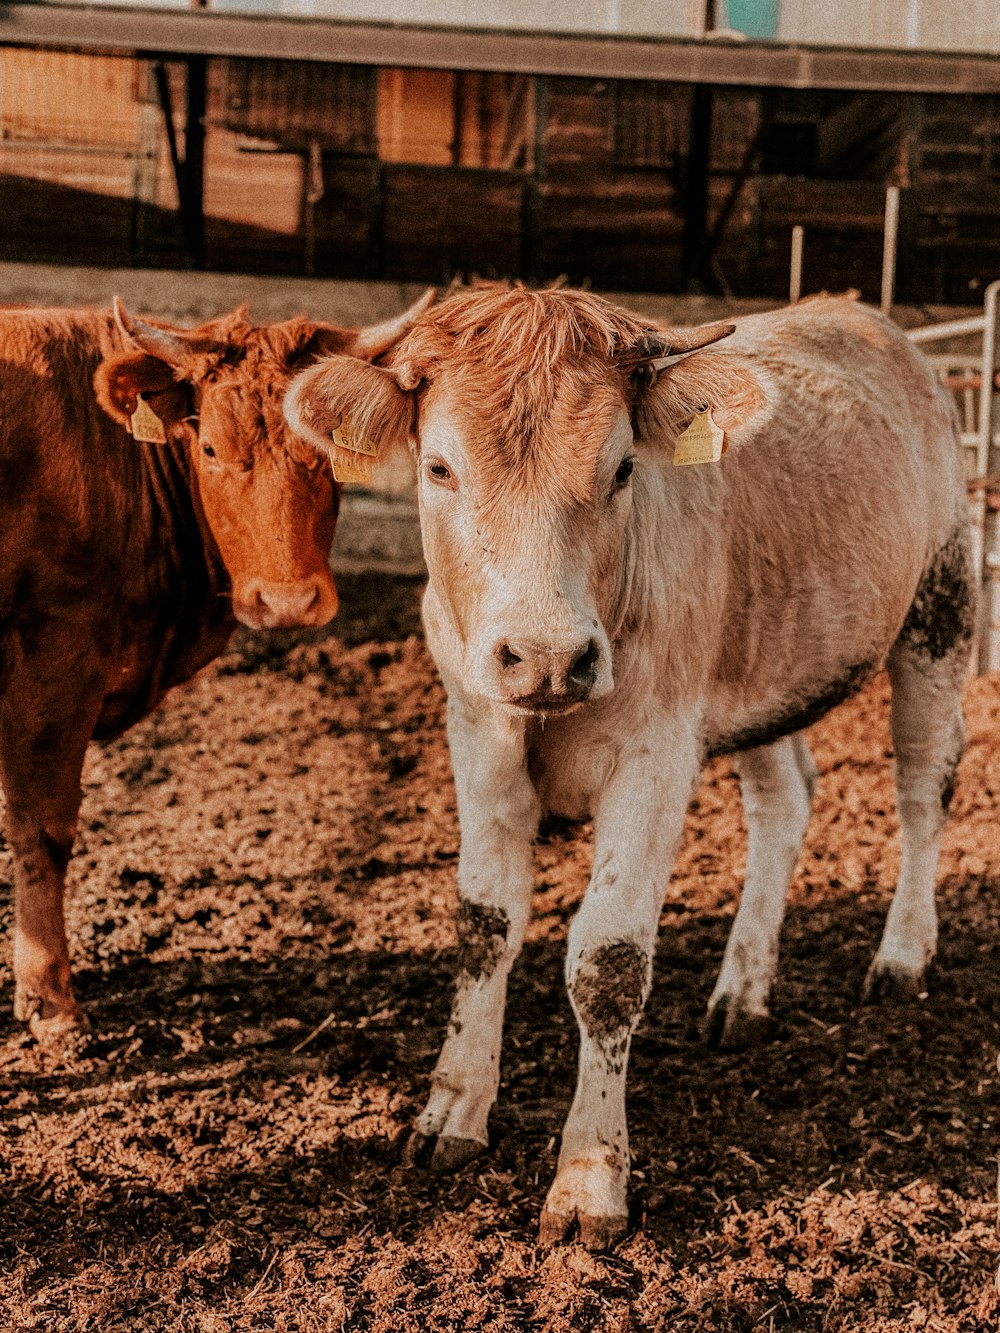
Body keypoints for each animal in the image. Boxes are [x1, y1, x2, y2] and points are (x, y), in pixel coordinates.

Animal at [0, 289, 426, 1039]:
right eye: (209, 448)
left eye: (325, 451)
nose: (289, 602)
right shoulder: (55, 660)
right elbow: (42, 826)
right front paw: (49, 997)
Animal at [289, 283, 981, 1247]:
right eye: (438, 468)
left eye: (621, 469)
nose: (548, 656)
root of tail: (860, 314)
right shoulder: (476, 724)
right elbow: (484, 922)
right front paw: (453, 1107)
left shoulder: (656, 750)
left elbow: (608, 958)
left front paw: (589, 1177)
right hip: (764, 660)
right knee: (785, 800)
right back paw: (743, 990)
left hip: (940, 606)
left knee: (923, 785)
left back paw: (903, 954)